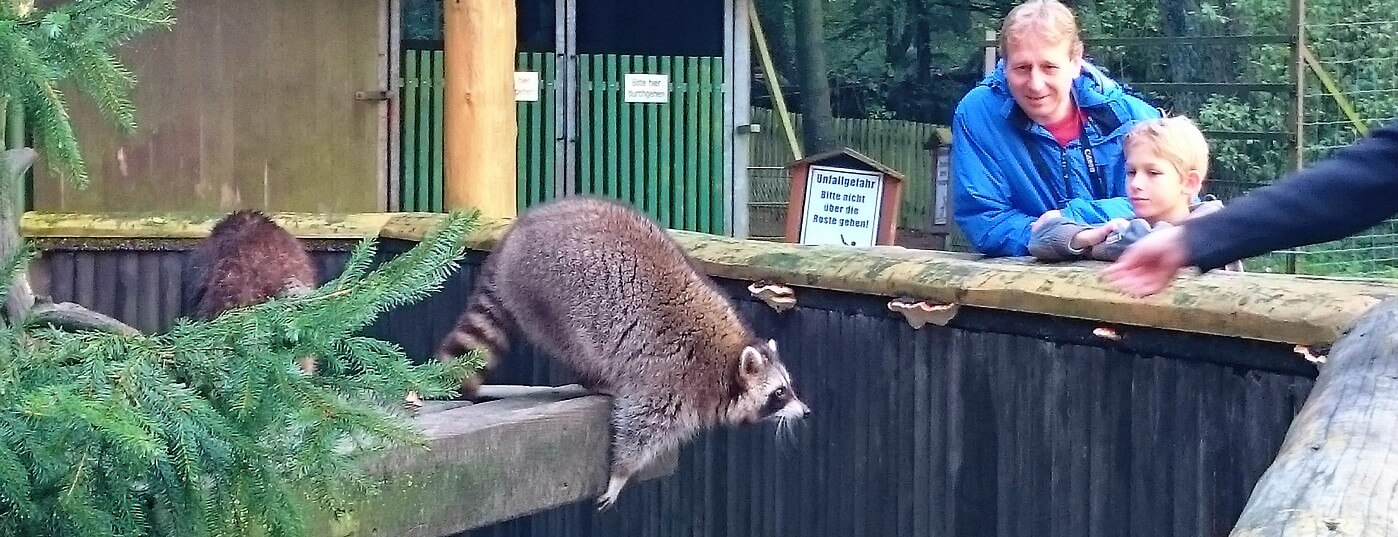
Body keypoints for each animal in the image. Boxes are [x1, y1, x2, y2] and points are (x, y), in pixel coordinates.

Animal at [433, 195, 810, 509]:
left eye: (789, 385)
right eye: (779, 393)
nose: (806, 412)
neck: (727, 359)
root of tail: (514, 237)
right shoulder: (668, 382)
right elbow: (639, 429)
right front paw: (621, 473)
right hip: (549, 299)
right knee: (576, 346)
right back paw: (595, 379)